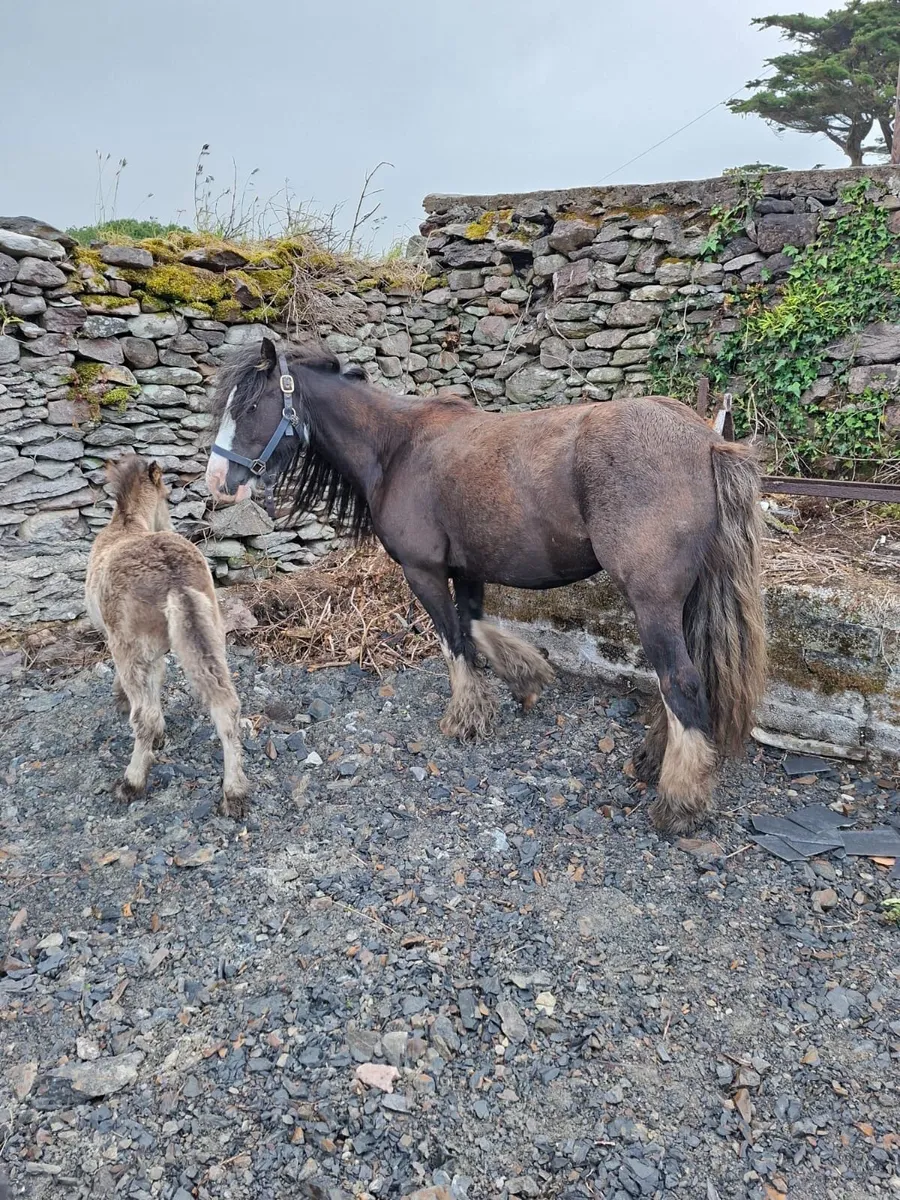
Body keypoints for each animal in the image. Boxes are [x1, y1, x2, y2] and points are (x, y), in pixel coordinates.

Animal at [86, 454, 250, 816]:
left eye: (165, 497)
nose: (171, 526)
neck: (127, 525)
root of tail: (173, 575)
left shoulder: (129, 646)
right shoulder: (159, 649)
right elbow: (159, 680)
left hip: (131, 648)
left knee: (142, 716)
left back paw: (131, 783)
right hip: (211, 634)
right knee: (226, 705)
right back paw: (234, 792)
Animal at [205, 338, 766, 833]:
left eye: (251, 406)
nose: (216, 481)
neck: (396, 447)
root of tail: (707, 440)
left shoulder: (425, 572)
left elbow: (454, 640)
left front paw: (466, 717)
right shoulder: (467, 569)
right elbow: (474, 627)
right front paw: (525, 679)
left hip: (652, 603)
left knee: (682, 683)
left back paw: (679, 800)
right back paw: (656, 758)